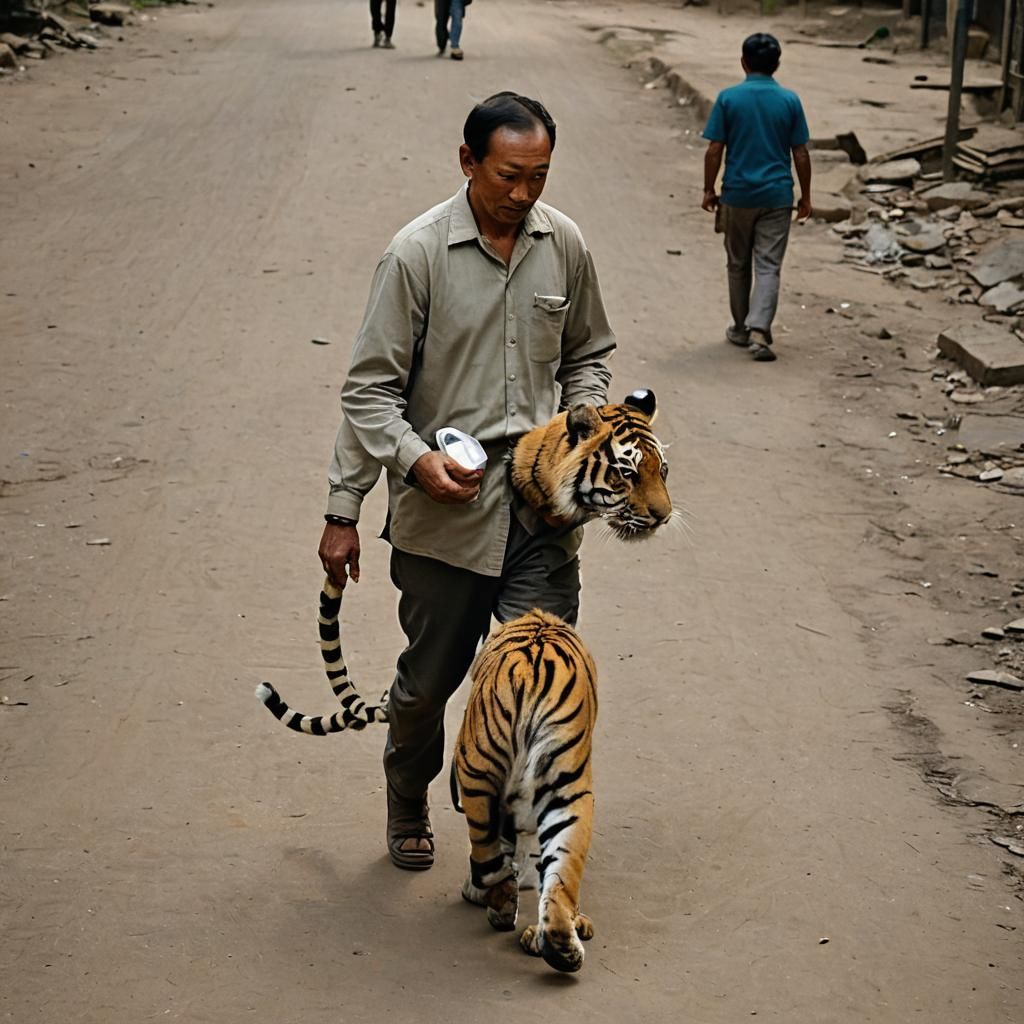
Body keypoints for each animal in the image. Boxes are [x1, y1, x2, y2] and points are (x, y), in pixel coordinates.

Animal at [255, 387, 671, 969]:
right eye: (628, 474)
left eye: (662, 471)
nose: (663, 516)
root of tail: (536, 666)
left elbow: (507, 852)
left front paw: (508, 896)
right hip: (561, 782)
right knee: (553, 864)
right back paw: (557, 939)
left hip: (486, 772)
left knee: (496, 854)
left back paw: (511, 913)